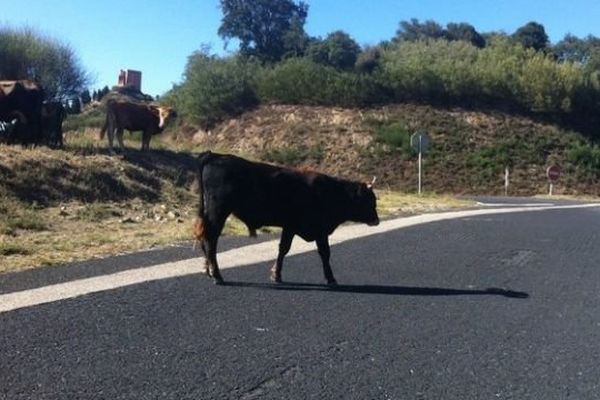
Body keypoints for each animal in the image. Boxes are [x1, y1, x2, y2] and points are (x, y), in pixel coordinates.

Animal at [193, 150, 380, 284]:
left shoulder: (290, 227)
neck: (331, 192)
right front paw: (331, 279)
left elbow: (283, 248)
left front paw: (276, 274)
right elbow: (324, 253)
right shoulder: (318, 231)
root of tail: (214, 155)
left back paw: (208, 270)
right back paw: (217, 275)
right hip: (218, 213)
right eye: (369, 200)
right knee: (211, 240)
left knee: (205, 239)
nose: (377, 220)